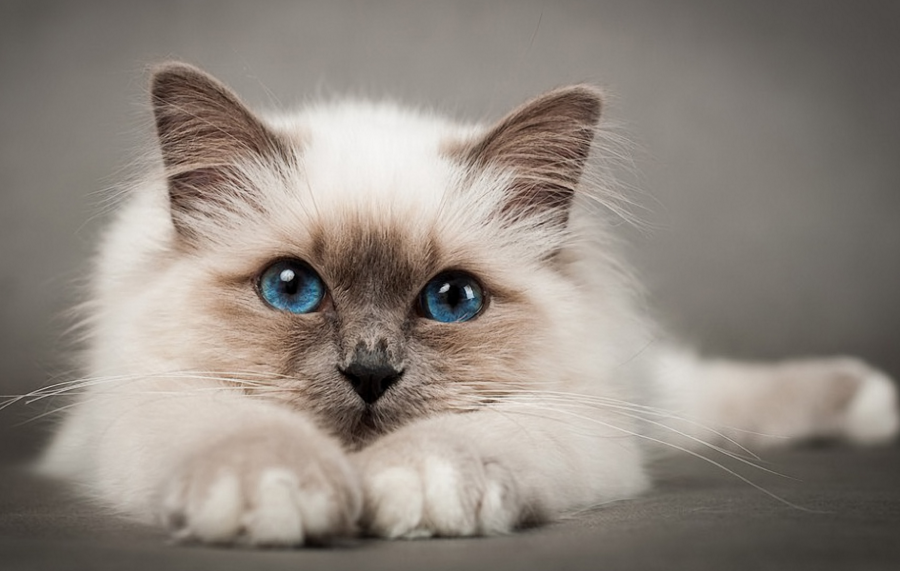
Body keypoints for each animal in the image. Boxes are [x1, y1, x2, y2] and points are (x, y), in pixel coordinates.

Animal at [37, 61, 900, 544]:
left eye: (451, 299)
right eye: (292, 288)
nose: (371, 371)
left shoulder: (572, 420)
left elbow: (462, 441)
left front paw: (415, 493)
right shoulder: (145, 400)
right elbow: (242, 434)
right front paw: (271, 496)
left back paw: (869, 400)